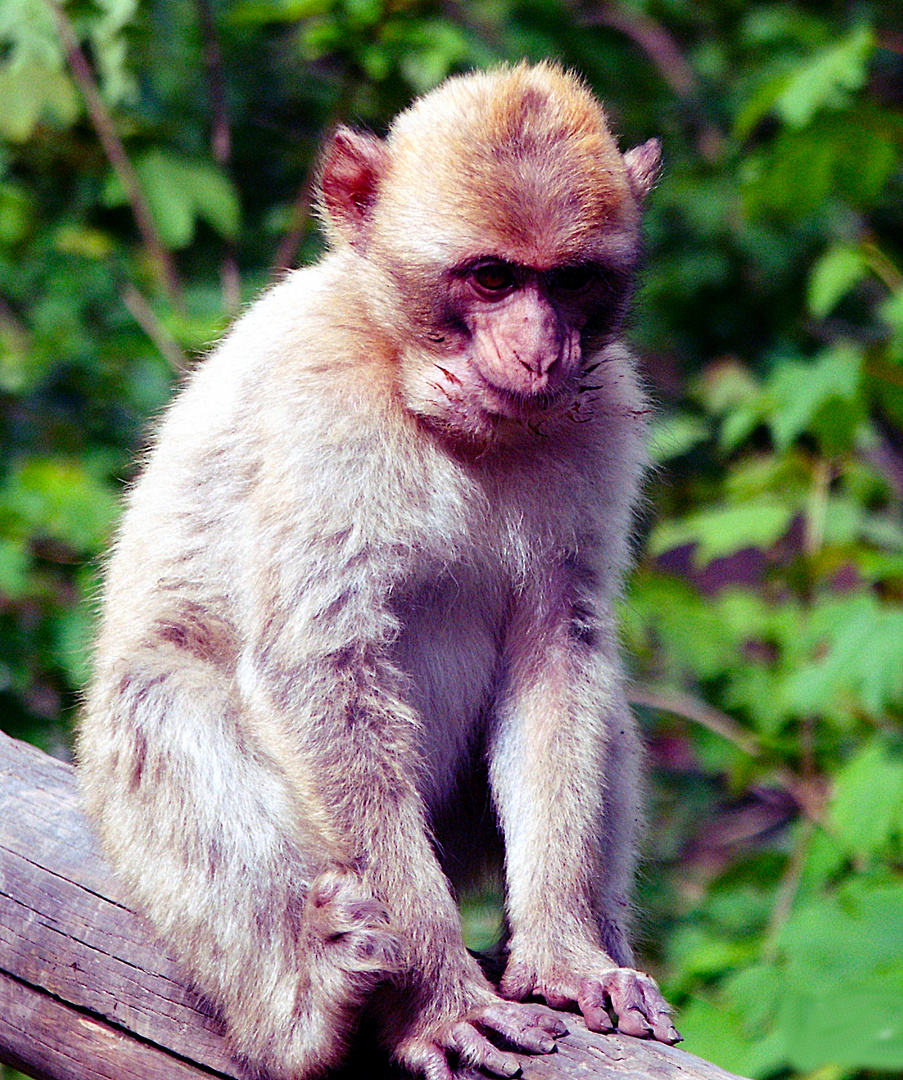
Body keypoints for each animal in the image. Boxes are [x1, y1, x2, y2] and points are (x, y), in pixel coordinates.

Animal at [79, 63, 678, 1080]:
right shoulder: (323, 404)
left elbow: (562, 650)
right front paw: (438, 998)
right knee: (157, 694)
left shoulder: (601, 412)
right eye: (491, 276)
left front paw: (563, 952)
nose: (541, 351)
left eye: (570, 282)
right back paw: (307, 1006)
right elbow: (318, 667)